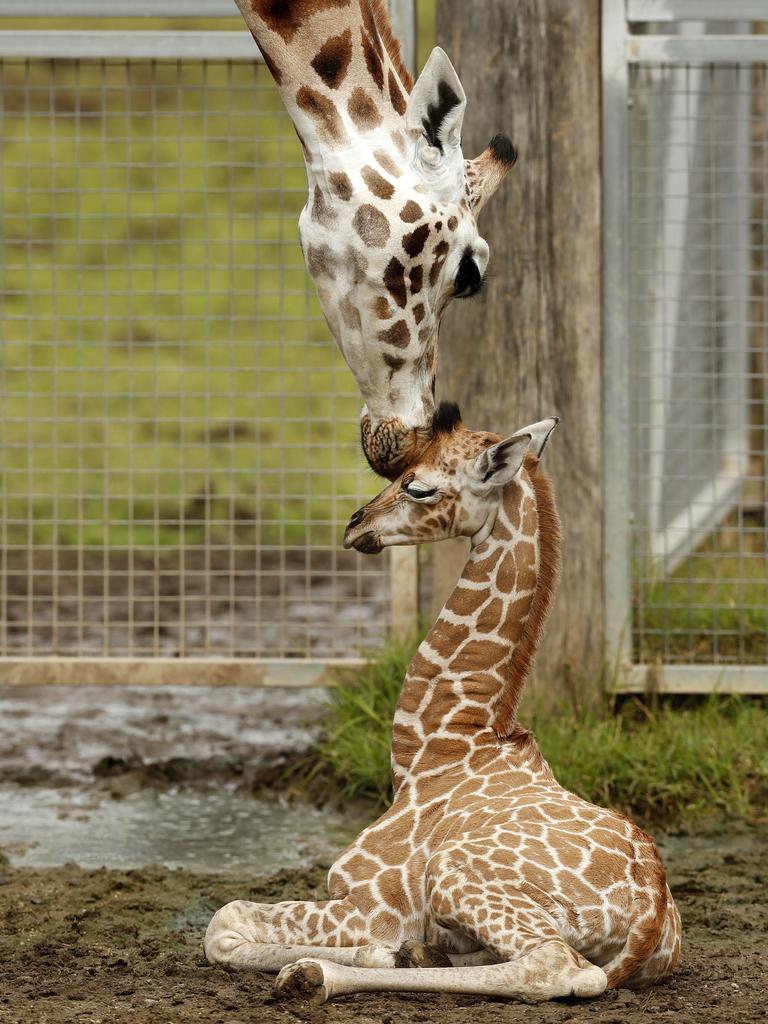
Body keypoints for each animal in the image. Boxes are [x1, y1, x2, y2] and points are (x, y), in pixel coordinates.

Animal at [204, 403, 679, 1003]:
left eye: (420, 486)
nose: (355, 525)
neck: (436, 748)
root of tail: (651, 915)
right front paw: (397, 952)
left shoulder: (371, 902)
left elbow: (222, 921)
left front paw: (347, 959)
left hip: (455, 877)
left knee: (557, 965)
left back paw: (317, 974)